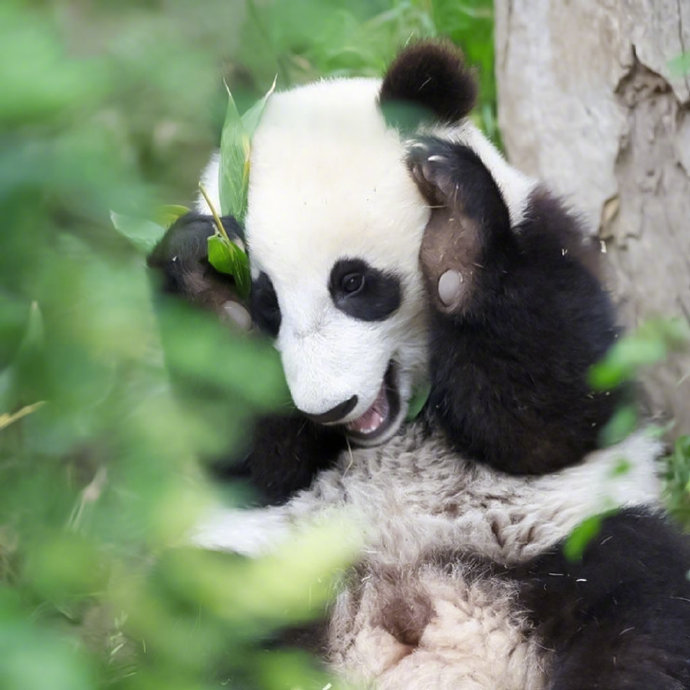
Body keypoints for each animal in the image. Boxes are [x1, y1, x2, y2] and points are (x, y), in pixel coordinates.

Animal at [149, 43, 688, 688]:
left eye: (353, 283)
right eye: (268, 306)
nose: (329, 408)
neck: (396, 429)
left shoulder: (546, 236)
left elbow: (549, 413)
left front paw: (453, 227)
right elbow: (253, 464)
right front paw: (205, 283)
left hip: (563, 544)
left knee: (637, 606)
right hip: (268, 580)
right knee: (203, 630)